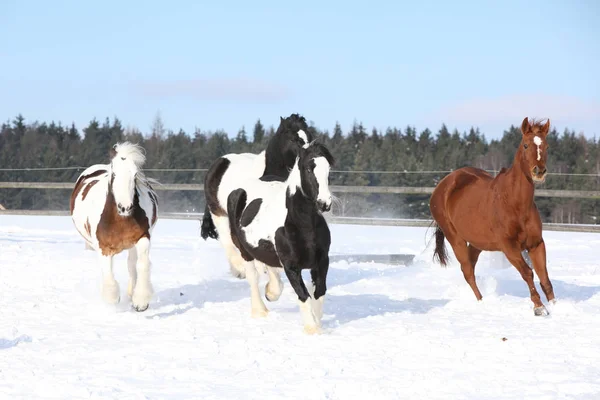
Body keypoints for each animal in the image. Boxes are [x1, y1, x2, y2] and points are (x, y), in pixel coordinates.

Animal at [70, 142, 158, 310]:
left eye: (135, 175)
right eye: (115, 175)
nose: (125, 207)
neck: (120, 219)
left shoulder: (142, 238)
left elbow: (142, 265)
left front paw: (140, 301)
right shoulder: (103, 247)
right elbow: (108, 274)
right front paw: (113, 299)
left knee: (131, 264)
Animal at [202, 112, 314, 294]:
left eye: (309, 136)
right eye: (295, 139)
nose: (312, 159)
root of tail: (219, 163)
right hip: (218, 213)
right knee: (227, 240)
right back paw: (240, 269)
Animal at [227, 141, 336, 334]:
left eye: (328, 168)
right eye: (308, 168)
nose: (325, 203)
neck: (304, 225)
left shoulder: (322, 261)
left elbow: (319, 292)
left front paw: (317, 322)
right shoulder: (291, 266)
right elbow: (304, 295)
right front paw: (312, 329)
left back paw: (271, 292)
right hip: (243, 249)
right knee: (252, 276)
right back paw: (260, 310)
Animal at [428, 117, 556, 318]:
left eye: (547, 146)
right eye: (526, 145)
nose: (539, 171)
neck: (515, 203)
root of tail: (443, 185)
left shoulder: (536, 244)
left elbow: (545, 276)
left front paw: (557, 305)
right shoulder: (509, 247)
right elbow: (528, 273)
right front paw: (539, 307)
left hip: (477, 243)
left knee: (470, 266)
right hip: (455, 239)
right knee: (467, 270)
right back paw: (481, 302)